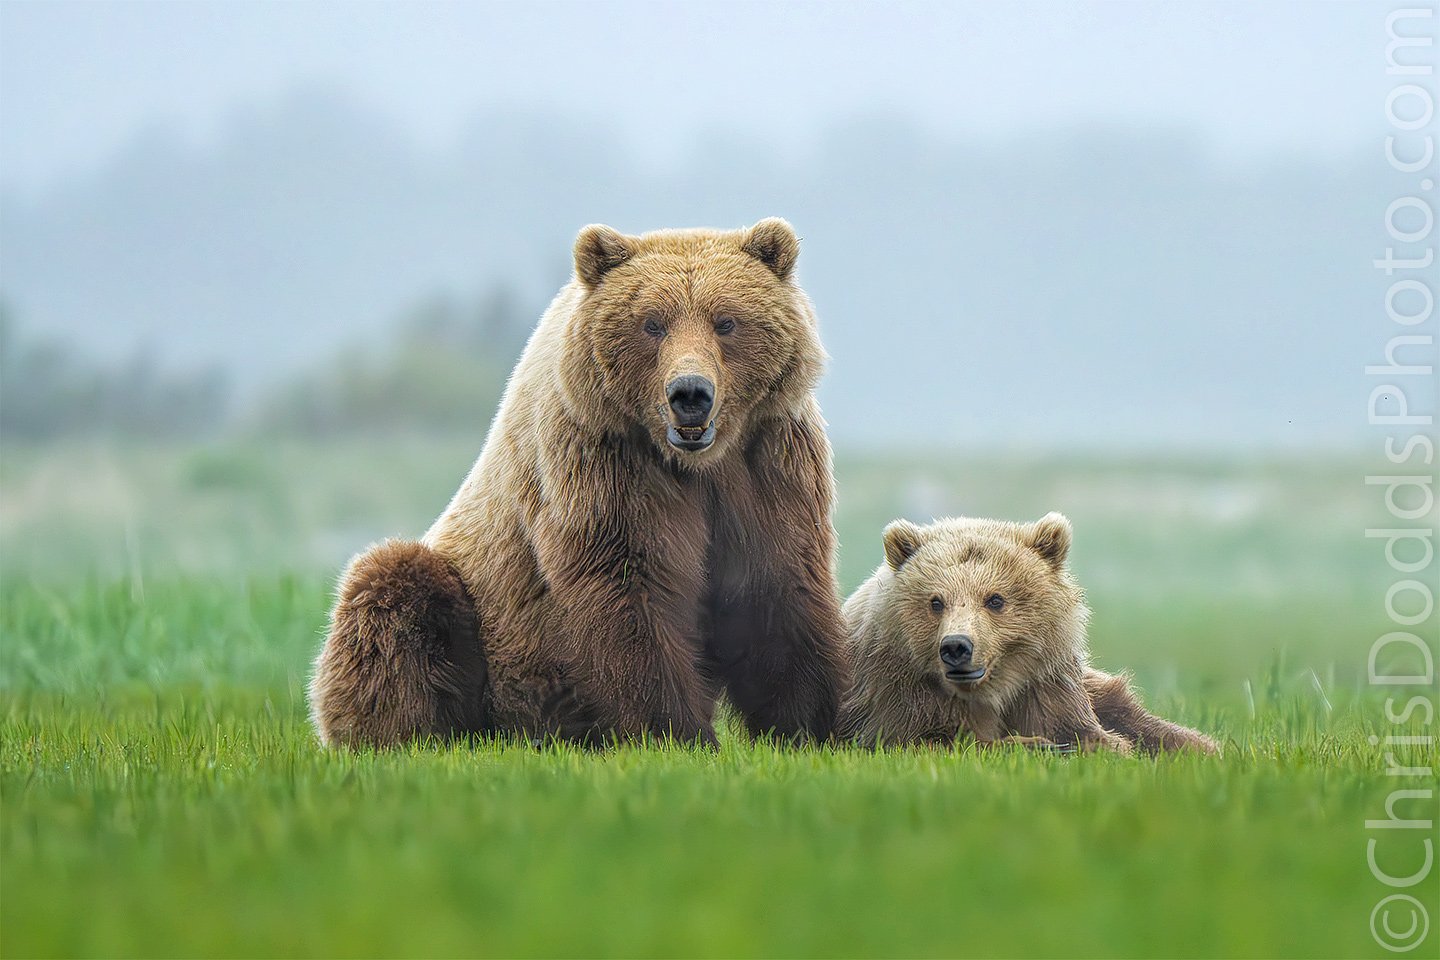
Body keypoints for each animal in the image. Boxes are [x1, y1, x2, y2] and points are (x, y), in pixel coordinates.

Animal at [309, 218, 850, 749]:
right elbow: (629, 587)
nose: (690, 393)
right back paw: (412, 735)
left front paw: (809, 727)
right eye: (653, 323)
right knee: (393, 592)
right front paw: (675, 734)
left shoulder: (767, 463)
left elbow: (778, 585)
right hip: (481, 623)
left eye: (727, 321)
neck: (694, 463)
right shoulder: (604, 461)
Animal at [836, 513, 1217, 754]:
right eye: (936, 601)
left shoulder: (1045, 683)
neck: (993, 689)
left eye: (995, 599)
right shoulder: (902, 691)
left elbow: (1088, 733)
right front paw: (1041, 746)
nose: (957, 646)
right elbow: (933, 740)